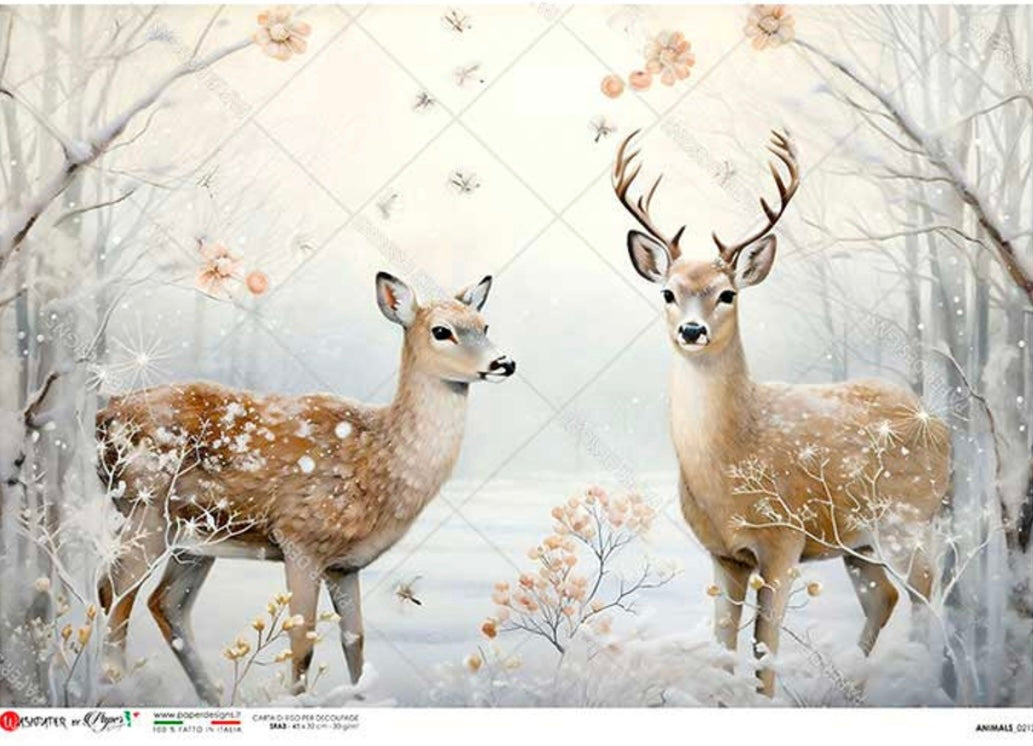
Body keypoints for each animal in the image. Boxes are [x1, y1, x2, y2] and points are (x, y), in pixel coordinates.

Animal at [95, 272, 516, 704]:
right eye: (441, 331)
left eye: (485, 326)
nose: (504, 363)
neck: (378, 459)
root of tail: (105, 414)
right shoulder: (299, 540)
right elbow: (303, 643)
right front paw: (296, 699)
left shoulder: (344, 566)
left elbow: (355, 641)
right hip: (146, 509)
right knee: (114, 591)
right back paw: (116, 685)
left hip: (197, 539)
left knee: (165, 603)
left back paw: (210, 696)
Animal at [612, 130, 951, 697]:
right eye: (668, 292)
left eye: (727, 293)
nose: (692, 330)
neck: (729, 461)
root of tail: (935, 420)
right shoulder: (723, 555)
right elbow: (724, 647)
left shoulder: (783, 543)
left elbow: (763, 653)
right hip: (858, 542)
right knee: (885, 597)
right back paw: (852, 689)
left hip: (908, 521)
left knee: (929, 596)